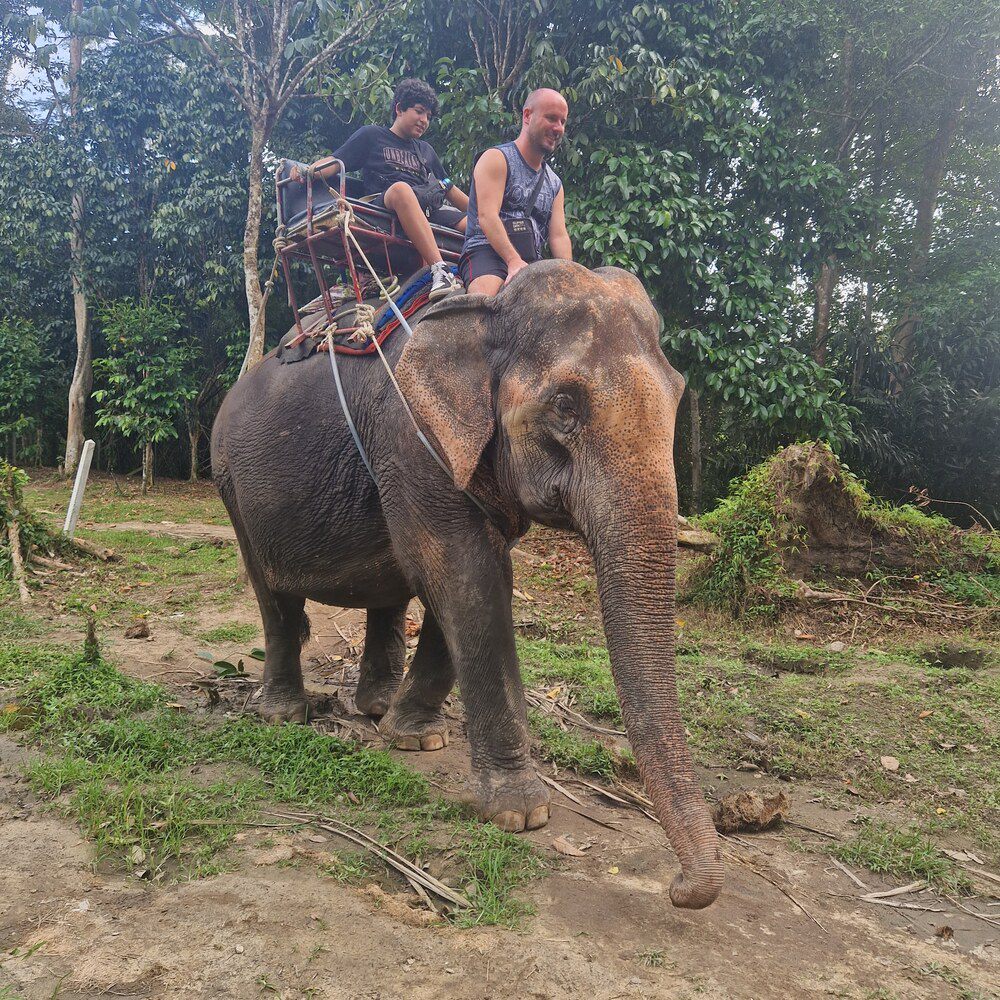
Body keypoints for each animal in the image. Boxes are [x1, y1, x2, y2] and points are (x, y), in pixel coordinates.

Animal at [211, 259, 723, 909]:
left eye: (678, 395)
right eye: (564, 405)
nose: (681, 888)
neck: (484, 314)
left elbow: (459, 581)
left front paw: (414, 739)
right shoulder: (413, 442)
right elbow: (467, 575)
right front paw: (520, 815)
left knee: (385, 592)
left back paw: (378, 711)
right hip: (232, 487)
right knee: (274, 598)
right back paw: (283, 715)